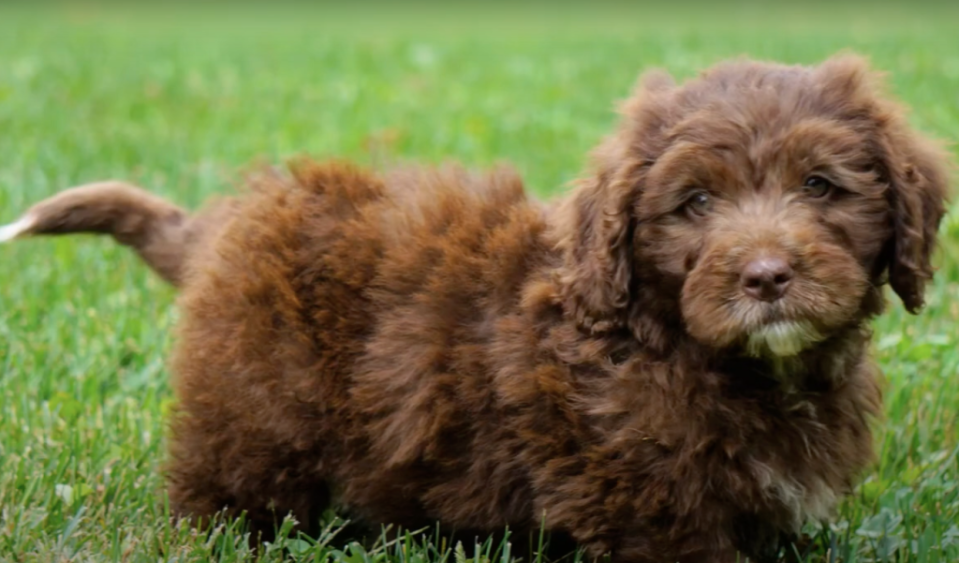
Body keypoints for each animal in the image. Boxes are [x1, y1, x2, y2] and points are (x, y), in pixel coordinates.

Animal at [1, 56, 952, 563]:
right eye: (694, 204)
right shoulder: (647, 503)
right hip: (254, 400)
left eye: (820, 186)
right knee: (223, 489)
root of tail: (221, 223)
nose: (765, 275)